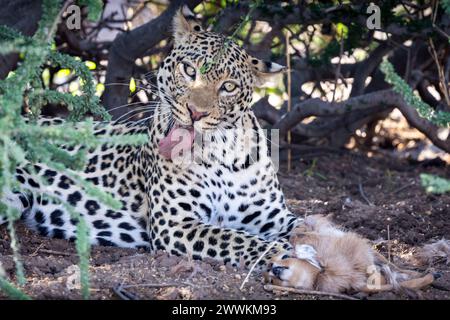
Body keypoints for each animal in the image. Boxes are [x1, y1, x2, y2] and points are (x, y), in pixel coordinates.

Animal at [1, 6, 302, 272]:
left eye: (228, 86)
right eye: (189, 70)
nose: (195, 112)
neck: (222, 154)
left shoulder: (273, 216)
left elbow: (303, 224)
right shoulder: (175, 223)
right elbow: (233, 237)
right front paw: (278, 251)